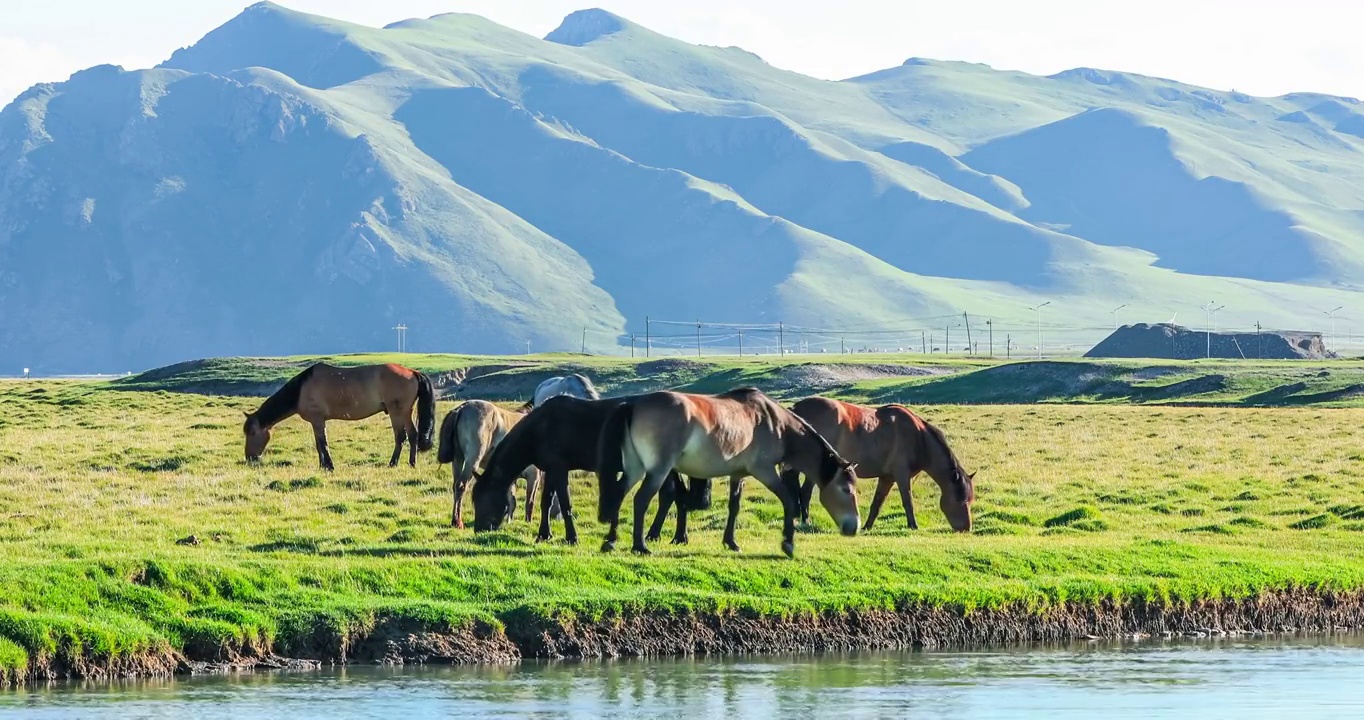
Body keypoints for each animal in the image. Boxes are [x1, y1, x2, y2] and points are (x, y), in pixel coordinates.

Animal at [242, 362, 433, 469]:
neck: (301, 390)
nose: (249, 457)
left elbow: (323, 443)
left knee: (401, 437)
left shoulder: (318, 420)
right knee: (413, 435)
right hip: (406, 412)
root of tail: (412, 372)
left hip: (396, 412)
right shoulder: (315, 422)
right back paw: (412, 463)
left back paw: (392, 463)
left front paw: (329, 465)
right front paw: (322, 465)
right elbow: (318, 444)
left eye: (252, 433)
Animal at [436, 398, 542, 529]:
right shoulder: (534, 475)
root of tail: (461, 408)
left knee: (455, 486)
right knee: (461, 486)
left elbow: (511, 499)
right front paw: (527, 522)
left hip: (458, 459)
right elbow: (529, 501)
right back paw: (457, 522)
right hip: (472, 460)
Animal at [471, 395, 703, 542]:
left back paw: (666, 536)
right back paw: (671, 536)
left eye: (482, 499)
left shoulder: (559, 469)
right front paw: (544, 535)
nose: (479, 529)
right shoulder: (552, 470)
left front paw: (571, 537)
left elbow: (564, 503)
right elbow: (546, 502)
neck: (540, 428)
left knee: (673, 495)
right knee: (675, 495)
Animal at [594, 387, 856, 556]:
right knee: (640, 499)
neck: (774, 422)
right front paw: (788, 544)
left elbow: (734, 507)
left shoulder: (737, 475)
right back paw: (639, 546)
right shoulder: (764, 471)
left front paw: (731, 542)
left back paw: (611, 541)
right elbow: (788, 500)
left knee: (618, 494)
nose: (854, 526)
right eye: (846, 489)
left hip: (634, 468)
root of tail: (632, 404)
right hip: (658, 470)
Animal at [785, 395, 976, 531]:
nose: (966, 528)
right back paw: (806, 521)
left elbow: (877, 503)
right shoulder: (902, 476)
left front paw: (867, 526)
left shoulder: (887, 478)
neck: (918, 438)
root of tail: (796, 409)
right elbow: (907, 501)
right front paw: (913, 526)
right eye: (960, 499)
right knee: (805, 492)